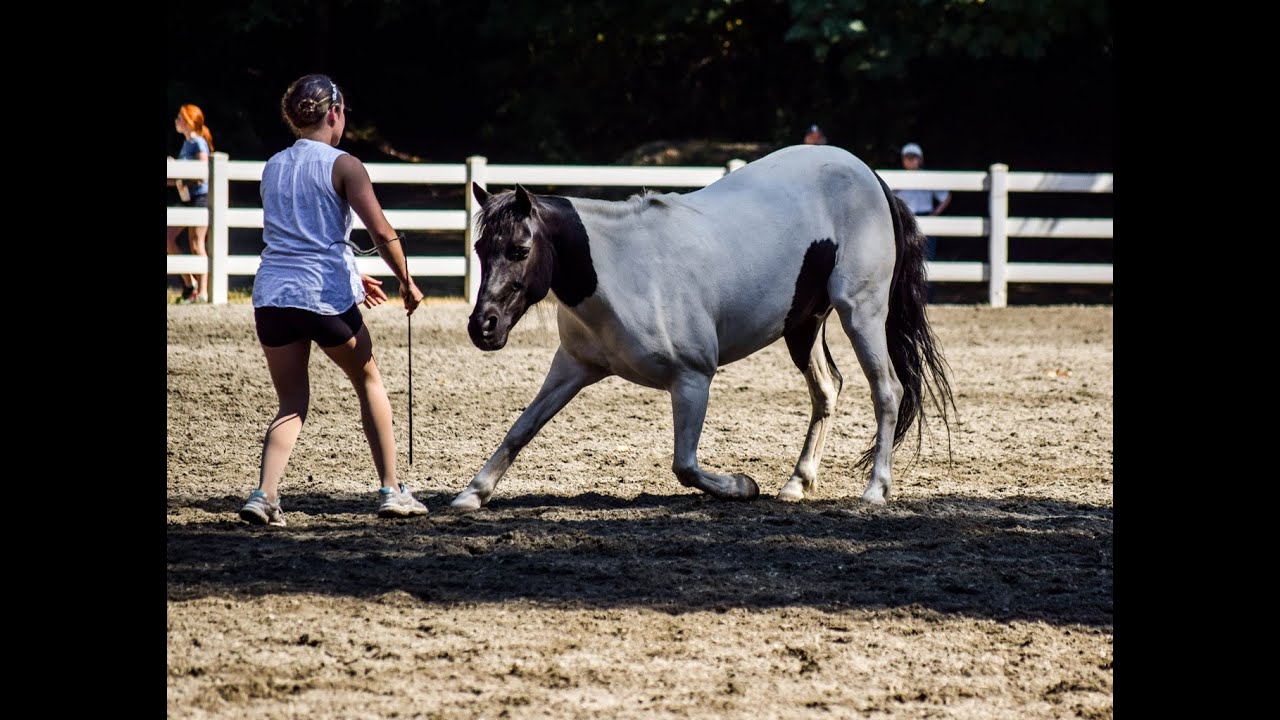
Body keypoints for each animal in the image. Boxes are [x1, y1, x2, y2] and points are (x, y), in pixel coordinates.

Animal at [451, 144, 954, 512]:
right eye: (480, 248)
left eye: (519, 250)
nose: (483, 326)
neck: (619, 269)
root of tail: (872, 177)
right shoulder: (573, 367)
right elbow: (522, 427)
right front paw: (473, 493)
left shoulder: (692, 380)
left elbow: (685, 466)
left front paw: (744, 485)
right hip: (803, 326)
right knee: (827, 391)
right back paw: (797, 482)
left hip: (861, 313)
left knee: (887, 391)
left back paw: (875, 490)